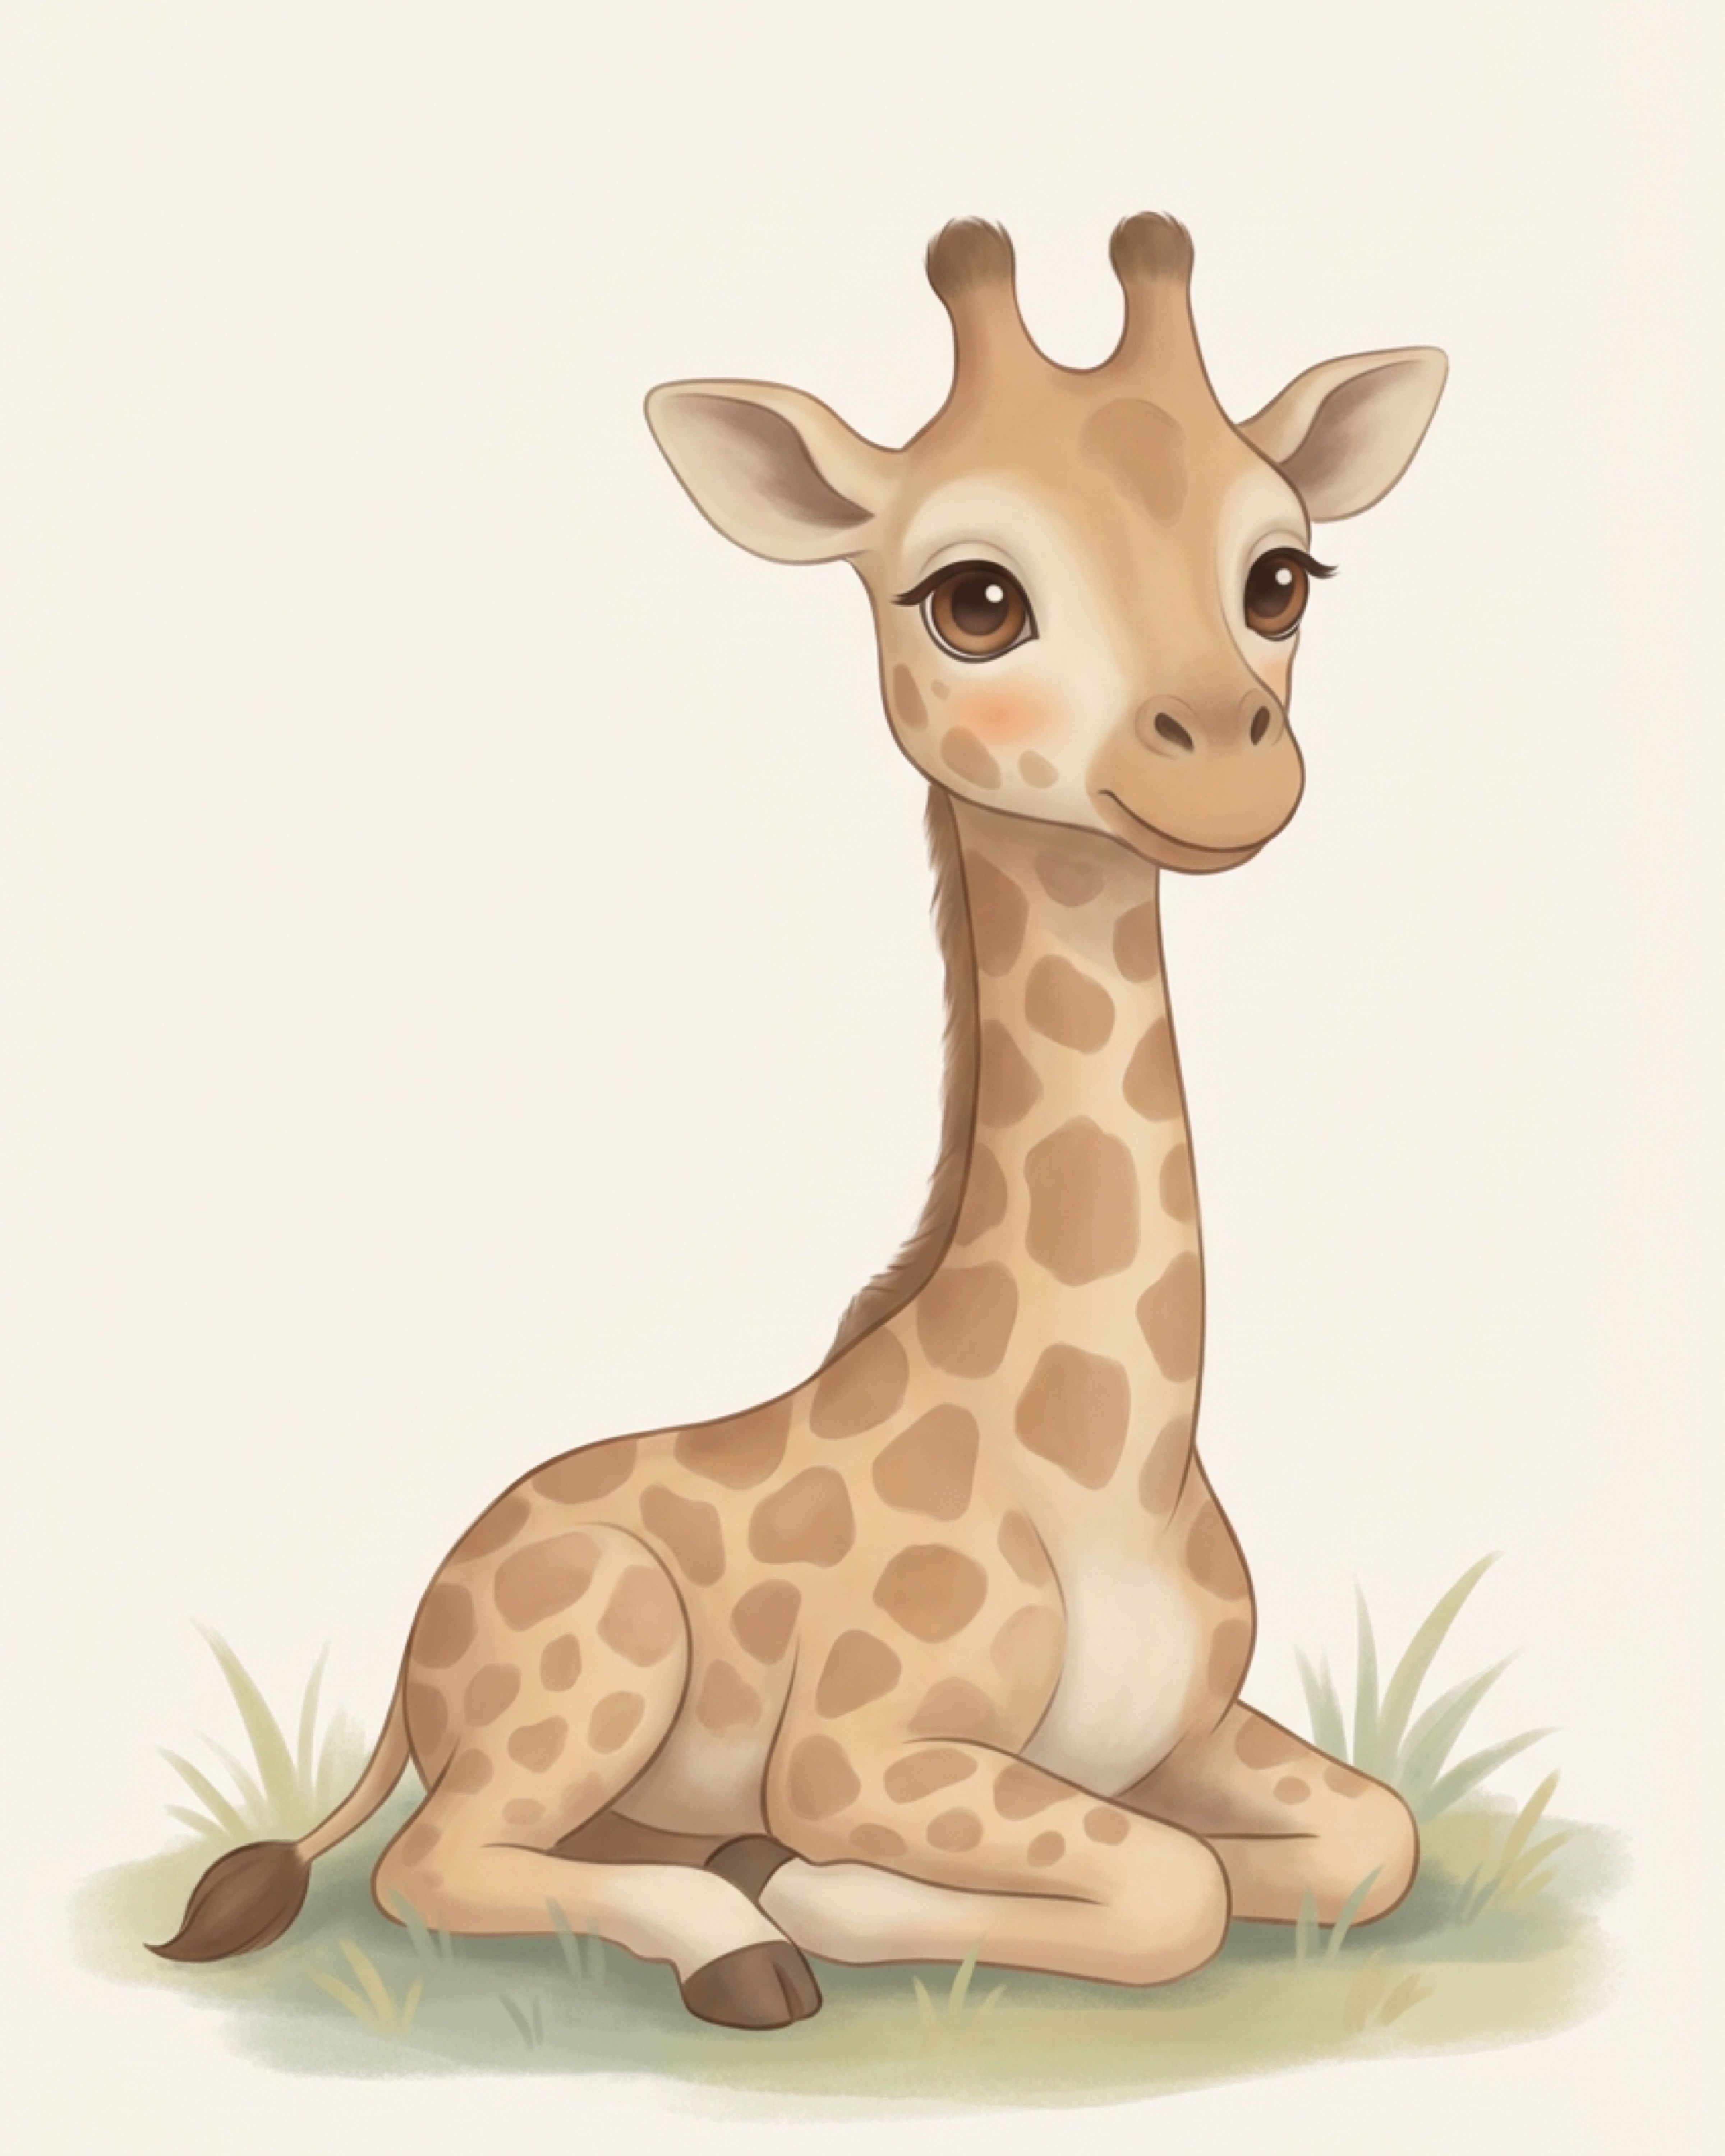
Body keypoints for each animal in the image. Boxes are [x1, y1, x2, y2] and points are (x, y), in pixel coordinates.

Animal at [151, 216, 1447, 2030]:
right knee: (429, 1865)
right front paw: (824, 1896)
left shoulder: (1183, 1731)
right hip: (601, 1656)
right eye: (973, 599)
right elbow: (1167, 1889)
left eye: (1280, 577)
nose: (1225, 767)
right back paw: (738, 1945)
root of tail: (420, 1635)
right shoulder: (860, 1748)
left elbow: (1361, 1839)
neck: (1106, 1469)